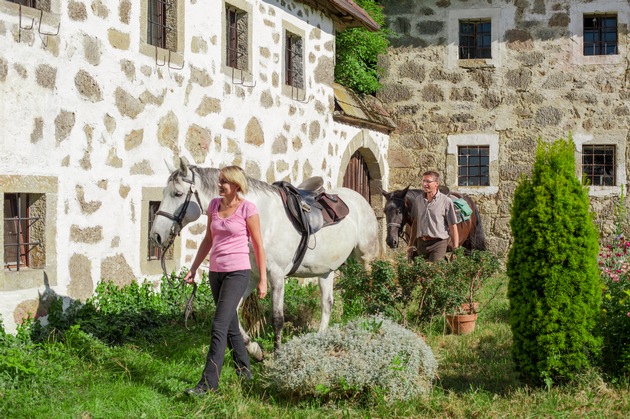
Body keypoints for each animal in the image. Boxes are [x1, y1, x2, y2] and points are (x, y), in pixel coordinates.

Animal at [151, 158, 380, 360]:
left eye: (178, 193)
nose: (156, 236)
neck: (261, 217)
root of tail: (358, 198)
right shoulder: (252, 276)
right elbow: (234, 313)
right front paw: (255, 350)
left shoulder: (276, 275)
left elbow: (277, 318)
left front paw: (277, 355)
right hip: (326, 270)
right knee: (327, 303)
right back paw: (320, 339)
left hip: (363, 259)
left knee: (366, 288)